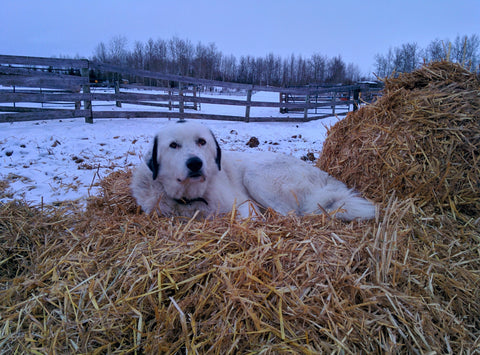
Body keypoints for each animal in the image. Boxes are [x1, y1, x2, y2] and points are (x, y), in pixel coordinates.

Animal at [130, 123, 376, 222]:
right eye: (173, 145)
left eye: (201, 142)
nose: (195, 163)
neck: (191, 198)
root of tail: (324, 177)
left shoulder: (245, 204)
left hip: (255, 176)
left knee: (291, 215)